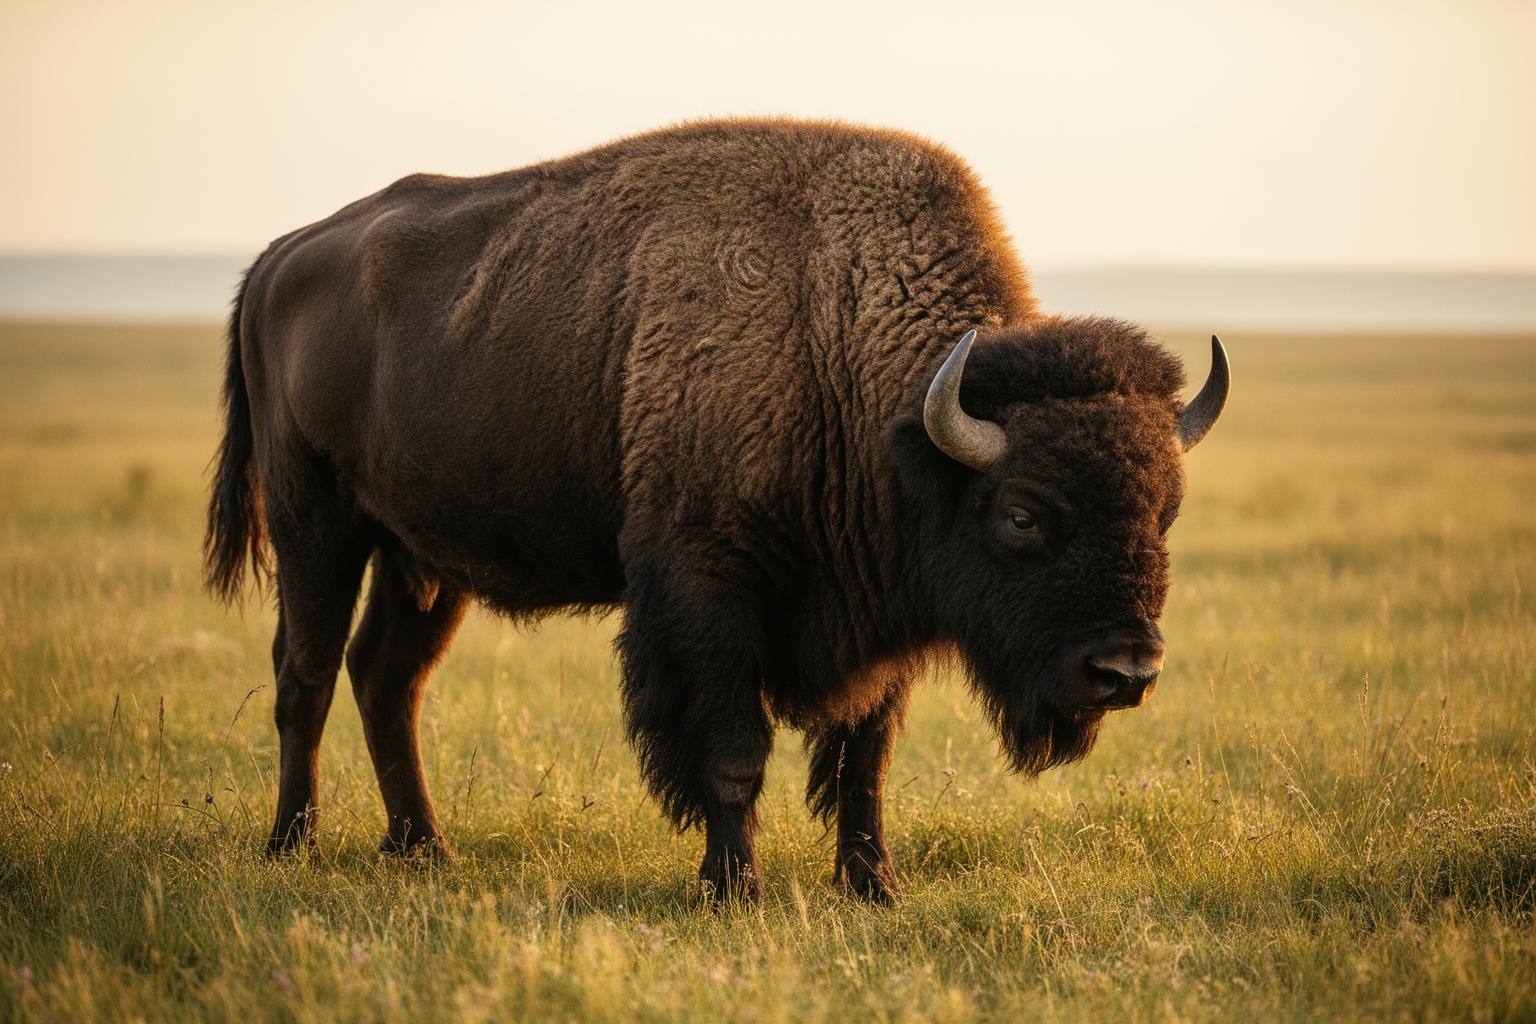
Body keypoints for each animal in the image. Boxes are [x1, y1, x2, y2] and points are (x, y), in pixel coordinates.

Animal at [205, 118, 1227, 902]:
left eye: (1166, 511)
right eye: (1021, 515)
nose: (1125, 669)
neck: (831, 336)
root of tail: (281, 258)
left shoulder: (882, 617)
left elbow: (864, 760)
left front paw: (874, 886)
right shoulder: (709, 596)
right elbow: (735, 753)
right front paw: (733, 888)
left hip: (421, 557)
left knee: (388, 675)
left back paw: (424, 847)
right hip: (316, 523)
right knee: (306, 672)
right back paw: (293, 845)